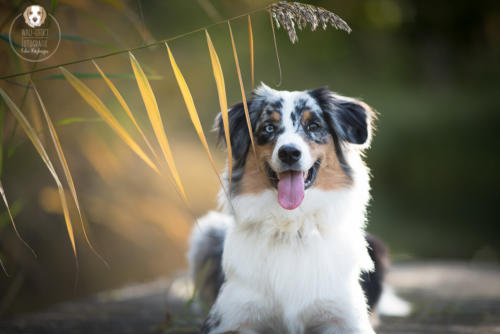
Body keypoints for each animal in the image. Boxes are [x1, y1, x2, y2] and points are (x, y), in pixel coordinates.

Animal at [188, 83, 390, 334]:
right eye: (268, 127)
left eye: (313, 126)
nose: (289, 153)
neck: (293, 226)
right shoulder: (229, 319)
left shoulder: (346, 319)